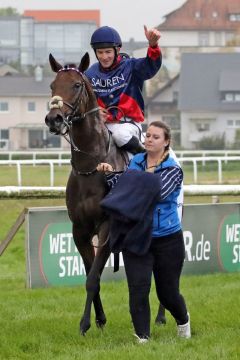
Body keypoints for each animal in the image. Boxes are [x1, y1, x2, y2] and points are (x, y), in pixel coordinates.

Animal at [45, 52, 166, 334]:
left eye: (76, 85)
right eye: (52, 86)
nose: (54, 119)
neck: (91, 167)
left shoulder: (107, 227)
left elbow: (93, 277)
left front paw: (85, 323)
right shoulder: (79, 230)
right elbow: (91, 274)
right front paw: (99, 319)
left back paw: (160, 316)